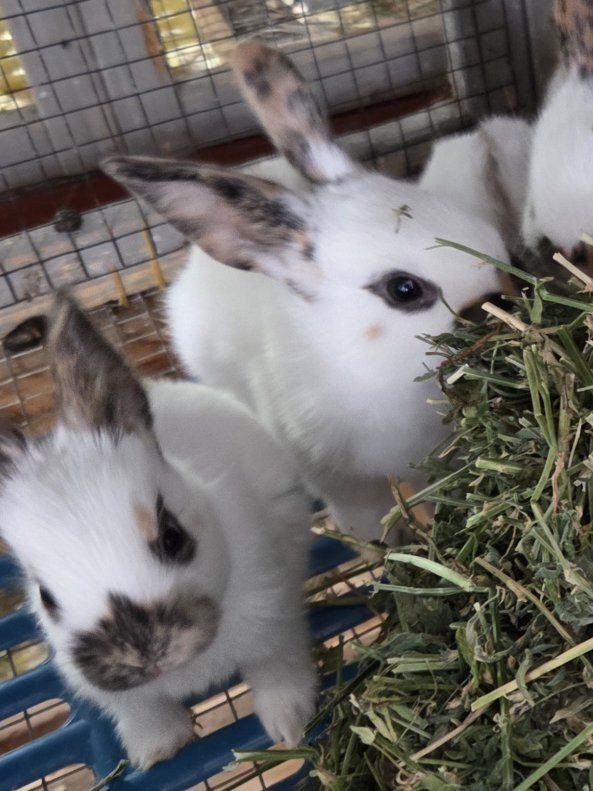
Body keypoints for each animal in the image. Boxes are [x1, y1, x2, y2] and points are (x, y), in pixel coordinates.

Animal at [0, 292, 316, 771]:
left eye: (173, 538)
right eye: (47, 597)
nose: (144, 656)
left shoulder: (275, 621)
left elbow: (276, 669)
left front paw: (290, 723)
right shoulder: (122, 697)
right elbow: (145, 711)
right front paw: (155, 750)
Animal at [102, 41, 512, 543]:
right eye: (403, 289)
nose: (500, 301)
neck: (367, 364)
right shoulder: (343, 482)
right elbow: (367, 522)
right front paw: (382, 554)